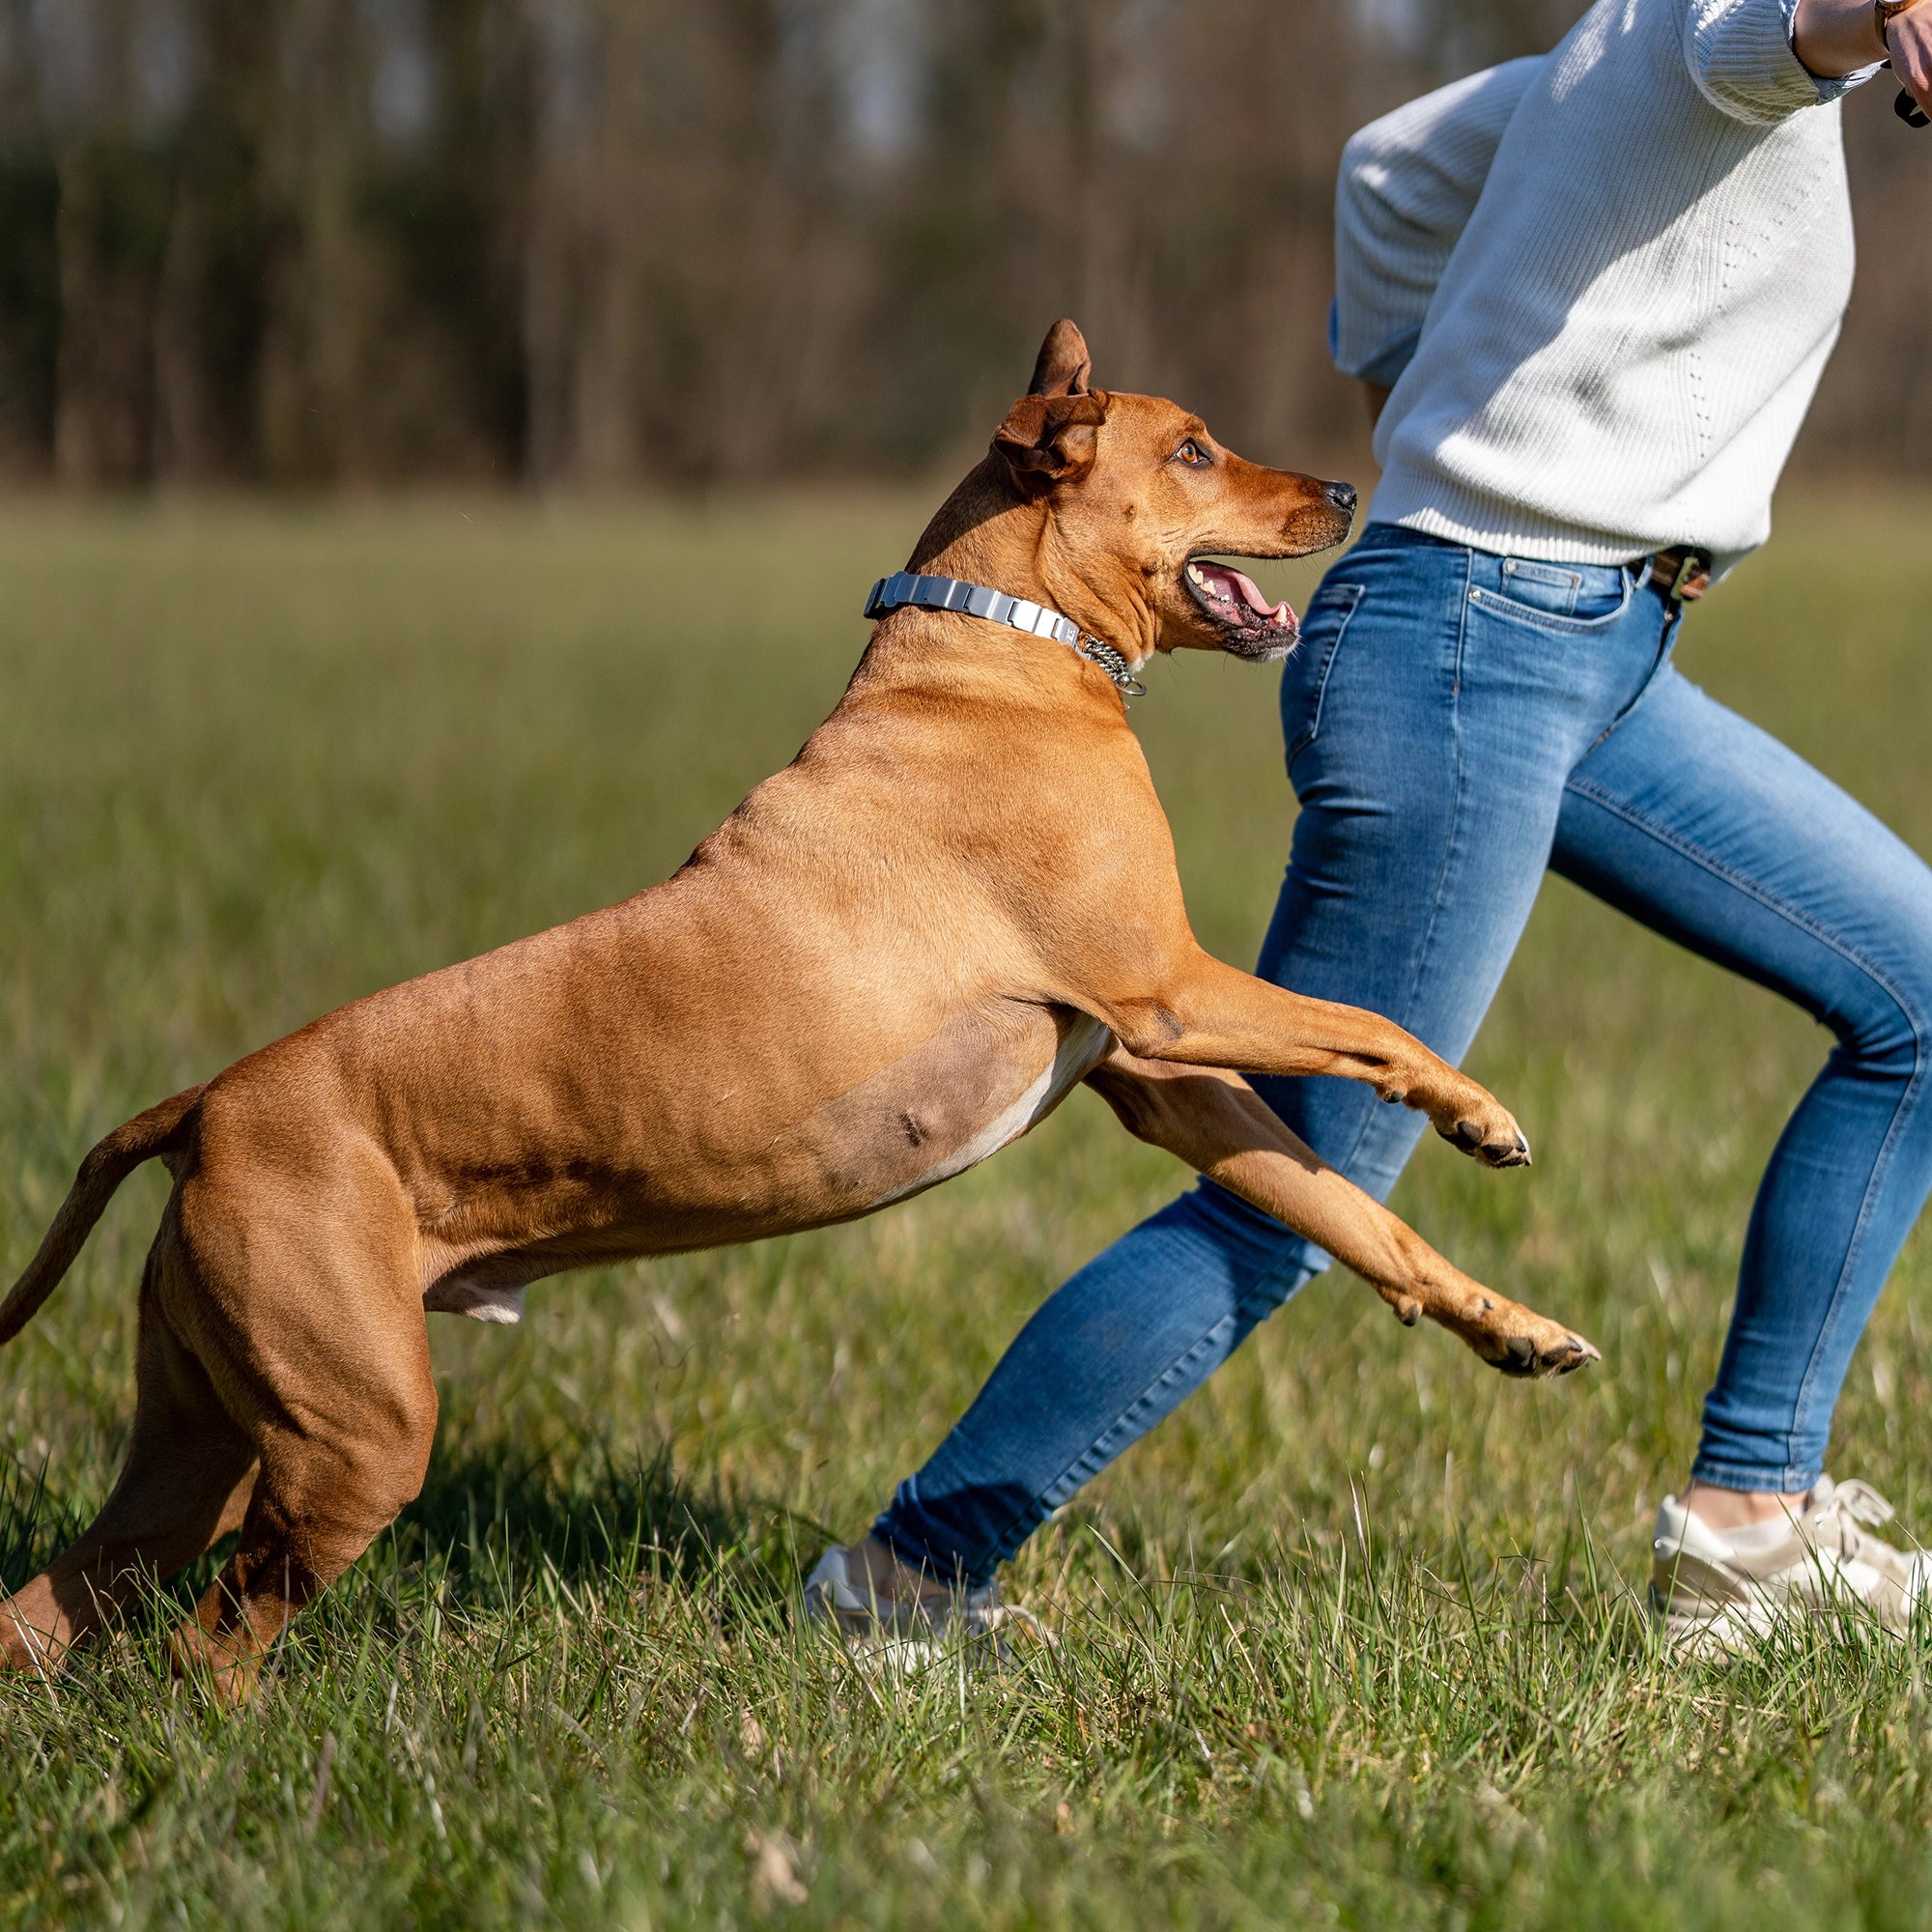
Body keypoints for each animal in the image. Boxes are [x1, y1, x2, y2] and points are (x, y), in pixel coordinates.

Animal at [0, 325, 1600, 1700]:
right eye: (1198, 450)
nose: (1343, 488)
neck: (1006, 646)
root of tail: (207, 1104)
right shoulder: (1174, 992)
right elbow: (1378, 1030)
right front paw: (1480, 1112)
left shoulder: (1159, 1074)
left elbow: (1354, 1217)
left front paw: (1509, 1327)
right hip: (358, 1432)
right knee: (212, 1643)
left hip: (203, 1448)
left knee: (70, 1596)